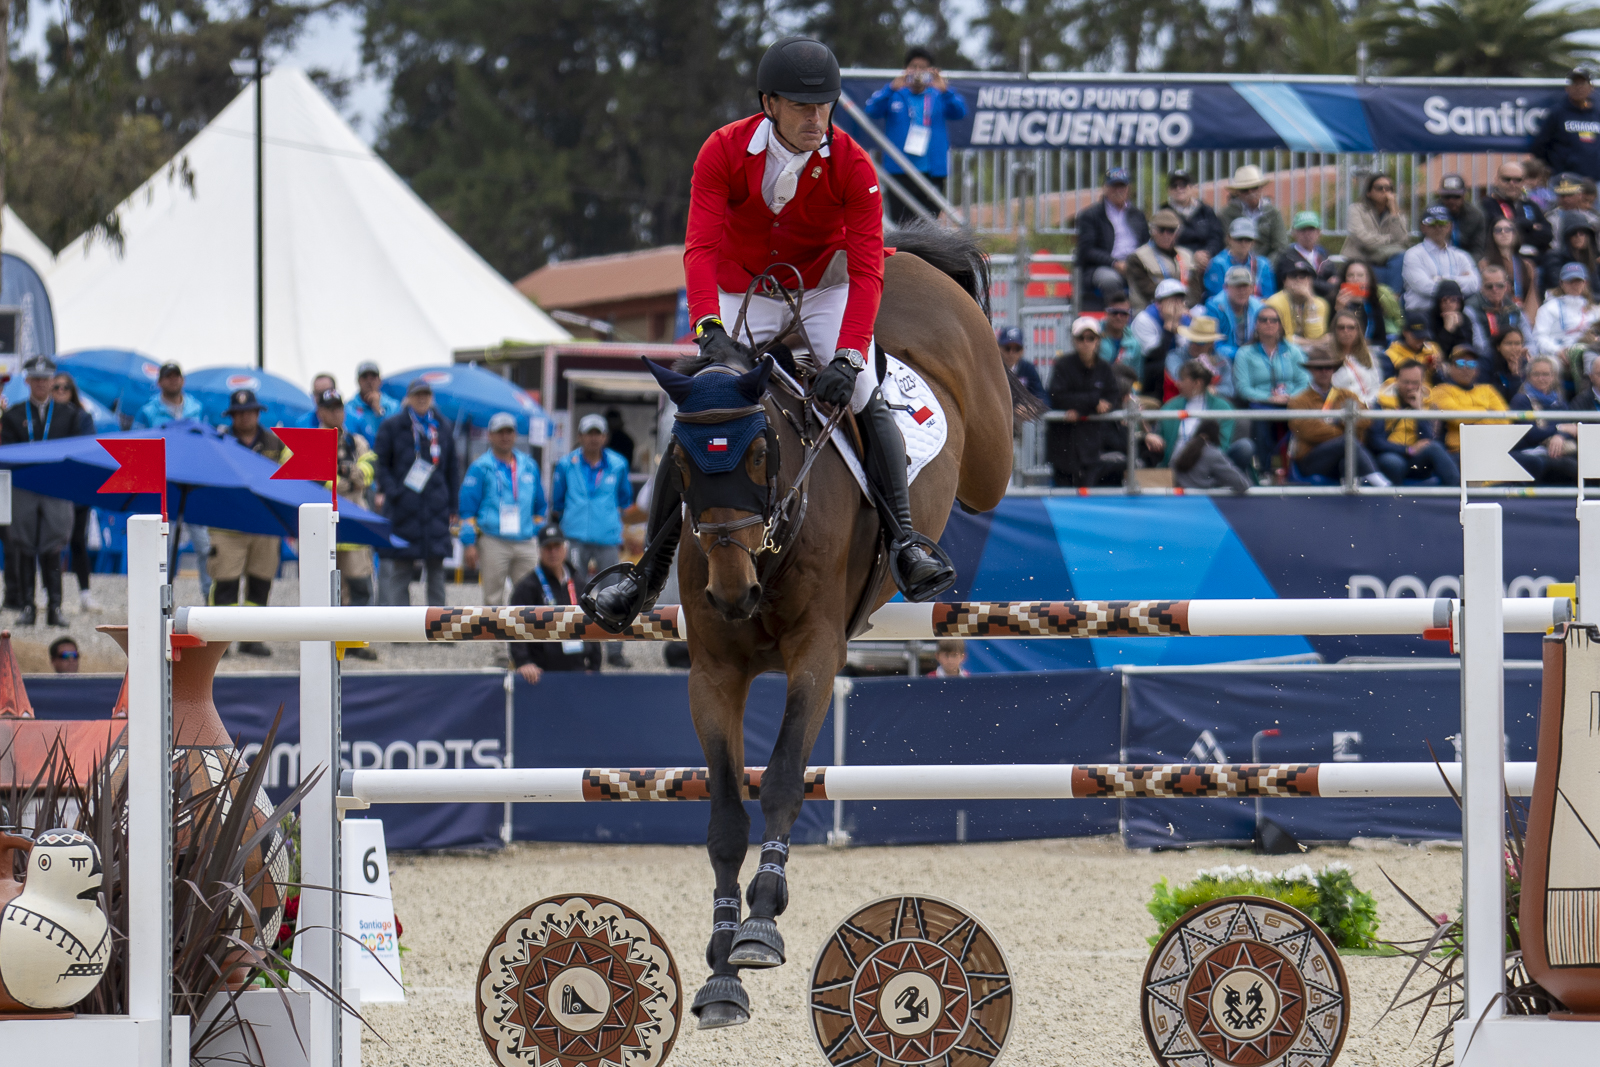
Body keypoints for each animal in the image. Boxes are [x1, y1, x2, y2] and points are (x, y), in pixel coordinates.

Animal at [656, 223, 1017, 1023]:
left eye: (762, 451)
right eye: (682, 466)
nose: (732, 593)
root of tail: (905, 258)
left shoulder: (816, 655)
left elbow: (785, 777)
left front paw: (761, 921)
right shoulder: (713, 674)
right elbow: (724, 814)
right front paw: (720, 964)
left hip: (990, 453)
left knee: (971, 453)